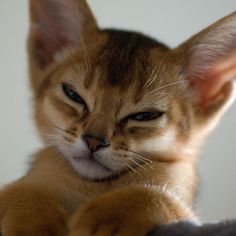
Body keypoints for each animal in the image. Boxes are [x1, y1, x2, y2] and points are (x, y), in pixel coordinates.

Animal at [0, 0, 235, 234]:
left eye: (145, 115)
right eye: (73, 94)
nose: (93, 142)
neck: (94, 186)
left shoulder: (182, 200)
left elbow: (155, 194)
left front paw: (108, 216)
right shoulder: (30, 179)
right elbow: (22, 191)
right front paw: (33, 223)